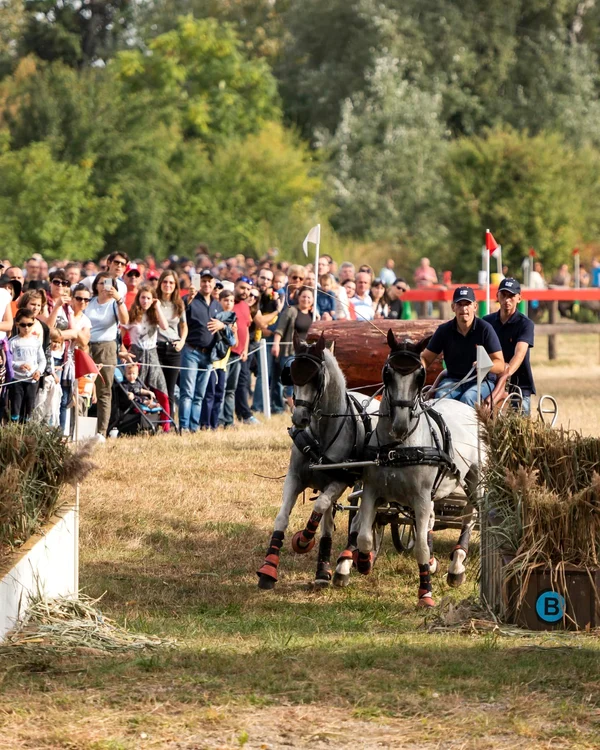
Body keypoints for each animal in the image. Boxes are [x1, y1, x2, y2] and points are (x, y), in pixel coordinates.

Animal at [255, 334, 378, 592]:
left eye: (316, 377)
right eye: (292, 374)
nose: (299, 418)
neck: (323, 432)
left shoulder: (339, 480)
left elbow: (319, 507)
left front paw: (303, 539)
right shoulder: (294, 477)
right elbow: (282, 517)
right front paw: (268, 569)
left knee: (358, 517)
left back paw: (349, 561)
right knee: (331, 521)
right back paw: (325, 569)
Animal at [352, 332, 482, 608]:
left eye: (420, 375)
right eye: (387, 371)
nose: (400, 424)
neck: (398, 447)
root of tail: (467, 407)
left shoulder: (421, 497)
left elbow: (421, 547)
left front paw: (425, 593)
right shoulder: (372, 492)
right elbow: (364, 535)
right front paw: (363, 562)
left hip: (476, 480)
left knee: (471, 516)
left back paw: (457, 566)